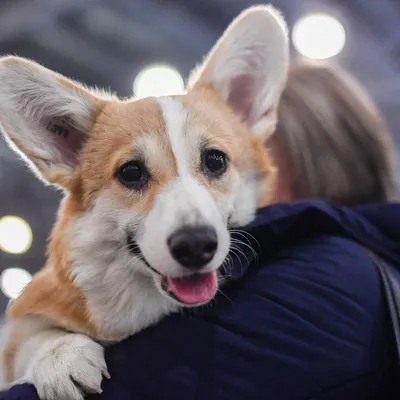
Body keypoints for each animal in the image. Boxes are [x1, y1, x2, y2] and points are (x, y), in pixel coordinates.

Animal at [0, 3, 290, 400]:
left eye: (215, 160)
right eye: (131, 172)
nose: (195, 246)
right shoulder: (22, 319)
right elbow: (31, 336)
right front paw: (61, 357)